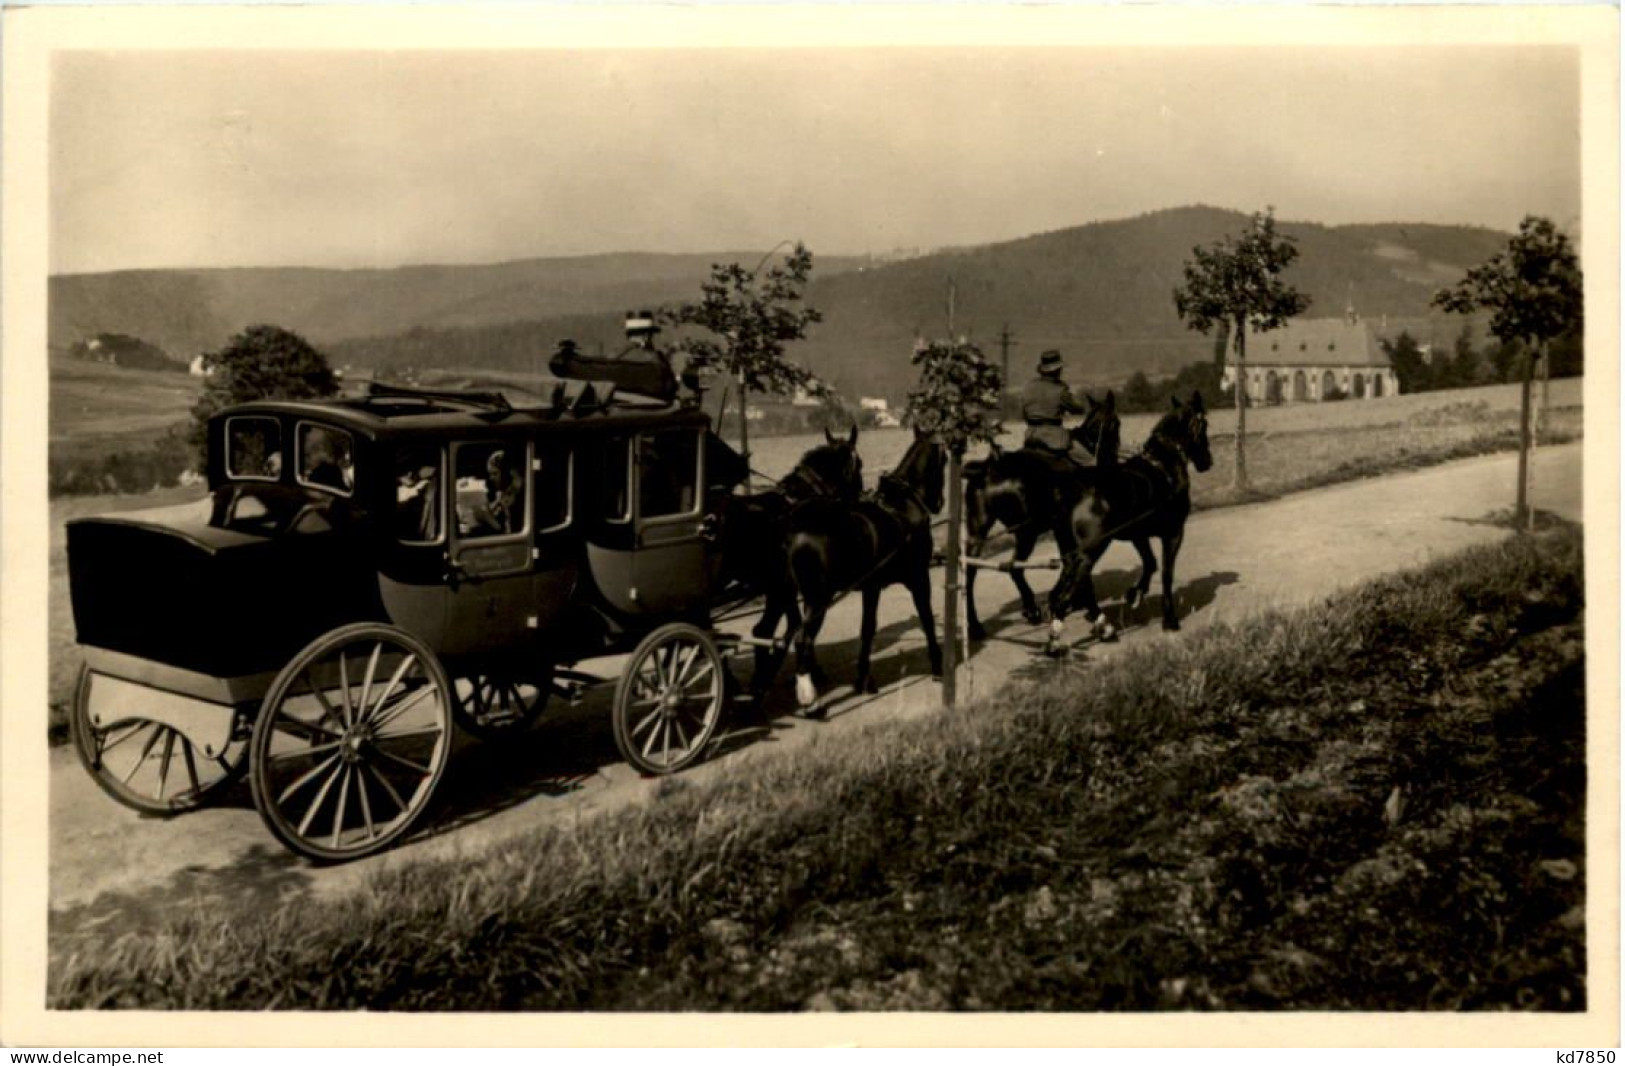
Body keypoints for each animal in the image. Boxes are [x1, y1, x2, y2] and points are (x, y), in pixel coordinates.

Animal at [708, 425, 864, 698]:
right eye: (860, 465)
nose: (859, 499)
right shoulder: (791, 586)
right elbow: (792, 626)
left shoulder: (781, 585)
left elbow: (779, 627)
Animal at [780, 429, 949, 711]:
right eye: (945, 460)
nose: (938, 503)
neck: (903, 506)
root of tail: (797, 527)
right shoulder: (917, 578)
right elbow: (923, 617)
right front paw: (937, 665)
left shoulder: (871, 586)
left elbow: (867, 628)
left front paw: (862, 678)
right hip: (819, 597)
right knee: (803, 638)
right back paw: (809, 697)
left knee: (798, 634)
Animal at [962, 391, 1118, 640]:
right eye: (1116, 423)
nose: (1113, 456)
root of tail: (990, 468)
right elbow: (1072, 563)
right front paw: (1070, 602)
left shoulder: (1061, 530)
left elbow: (1069, 562)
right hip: (1027, 532)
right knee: (1014, 567)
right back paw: (1031, 609)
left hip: (979, 532)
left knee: (970, 572)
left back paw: (975, 626)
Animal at [1046, 391, 1215, 656]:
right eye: (1204, 424)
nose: (1207, 461)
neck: (1164, 467)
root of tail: (1072, 492)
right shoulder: (1174, 533)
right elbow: (1166, 573)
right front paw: (1170, 620)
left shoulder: (1138, 535)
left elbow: (1150, 563)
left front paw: (1135, 593)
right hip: (1089, 551)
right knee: (1065, 595)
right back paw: (1058, 641)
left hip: (1070, 552)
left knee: (1063, 592)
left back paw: (1100, 627)